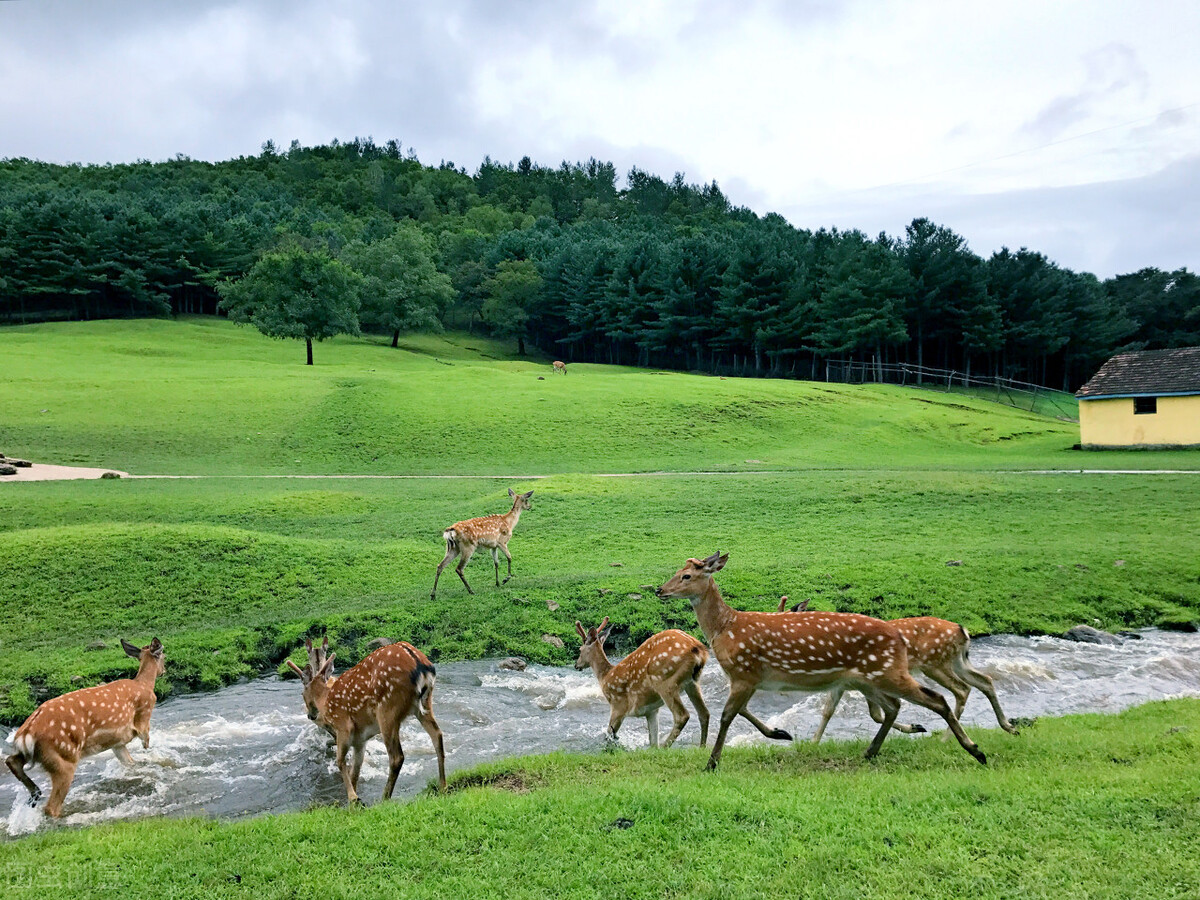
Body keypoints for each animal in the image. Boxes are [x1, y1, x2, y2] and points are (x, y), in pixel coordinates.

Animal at [5, 638, 164, 820]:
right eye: (164, 656)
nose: (164, 671)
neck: (145, 685)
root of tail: (25, 734)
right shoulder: (143, 718)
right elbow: (145, 740)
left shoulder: (117, 743)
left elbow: (130, 762)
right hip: (63, 757)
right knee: (51, 807)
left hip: (33, 753)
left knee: (11, 760)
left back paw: (35, 793)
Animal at [288, 638, 448, 806]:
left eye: (302, 694)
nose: (310, 715)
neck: (326, 702)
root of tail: (420, 664)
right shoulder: (360, 740)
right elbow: (355, 770)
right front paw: (352, 803)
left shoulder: (343, 726)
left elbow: (340, 761)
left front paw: (353, 798)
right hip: (424, 705)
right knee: (437, 735)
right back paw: (443, 786)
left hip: (387, 708)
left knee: (397, 757)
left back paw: (384, 798)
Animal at [573, 619, 705, 748]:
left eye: (580, 649)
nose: (576, 665)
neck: (605, 676)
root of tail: (698, 650)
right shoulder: (652, 710)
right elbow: (653, 742)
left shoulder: (618, 705)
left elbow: (609, 736)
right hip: (692, 682)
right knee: (704, 713)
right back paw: (702, 747)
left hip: (664, 681)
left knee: (682, 715)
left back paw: (665, 747)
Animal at [657, 554, 984, 772]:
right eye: (677, 570)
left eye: (686, 576)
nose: (660, 590)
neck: (725, 629)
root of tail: (899, 638)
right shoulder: (748, 678)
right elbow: (742, 712)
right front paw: (779, 733)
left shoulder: (744, 672)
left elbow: (727, 716)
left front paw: (712, 762)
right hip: (869, 677)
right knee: (894, 707)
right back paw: (872, 751)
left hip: (888, 671)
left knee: (937, 698)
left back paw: (975, 750)